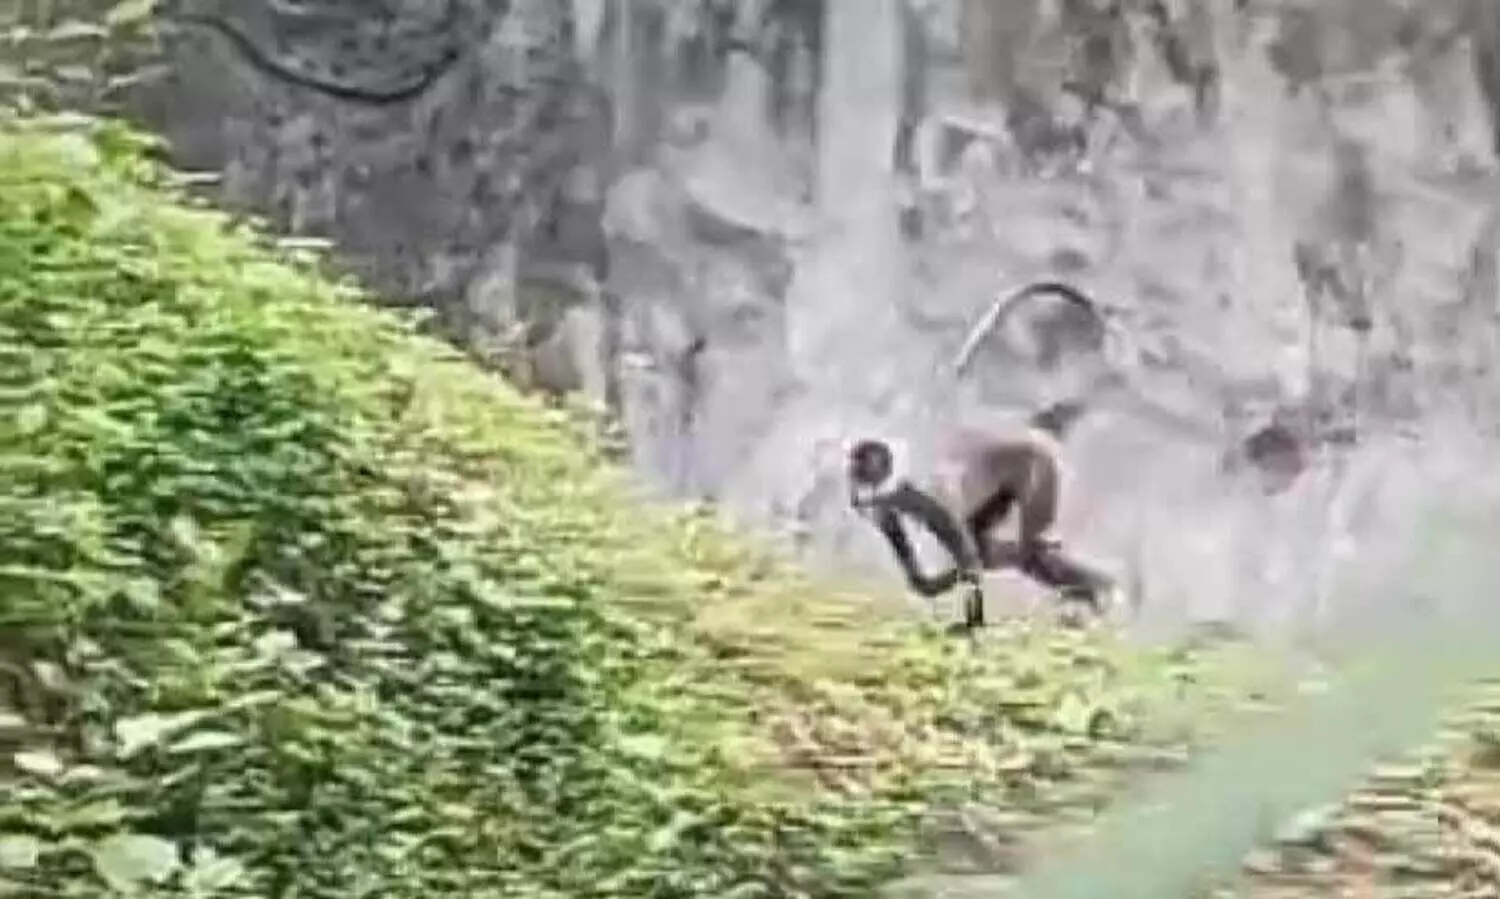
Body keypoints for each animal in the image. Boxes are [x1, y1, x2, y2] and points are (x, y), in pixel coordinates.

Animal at [847, 400, 1117, 633]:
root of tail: (1033, 431)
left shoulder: (924, 492)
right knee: (997, 548)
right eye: (852, 472)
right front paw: (930, 585)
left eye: (861, 471)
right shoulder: (889, 500)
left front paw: (972, 626)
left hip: (1042, 465)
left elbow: (967, 558)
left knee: (1029, 548)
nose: (853, 493)